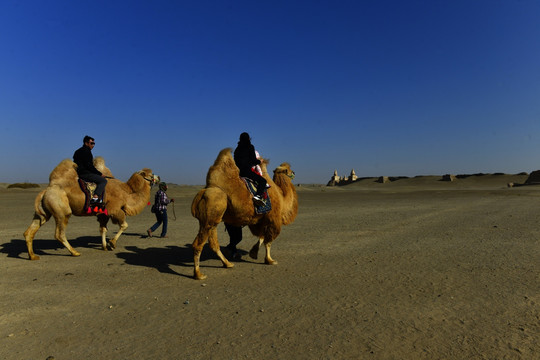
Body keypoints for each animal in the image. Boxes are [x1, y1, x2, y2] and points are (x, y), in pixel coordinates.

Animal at [23, 157, 158, 258]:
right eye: (151, 175)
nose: (159, 178)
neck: (127, 192)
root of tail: (46, 190)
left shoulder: (103, 213)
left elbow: (103, 229)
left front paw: (104, 246)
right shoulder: (115, 209)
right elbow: (124, 225)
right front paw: (112, 243)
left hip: (44, 212)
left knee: (30, 231)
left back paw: (33, 256)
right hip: (62, 211)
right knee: (59, 234)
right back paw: (75, 252)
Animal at [191, 148, 300, 280]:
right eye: (287, 170)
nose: (294, 172)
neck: (281, 197)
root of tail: (204, 191)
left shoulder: (260, 220)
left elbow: (261, 237)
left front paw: (254, 253)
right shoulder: (273, 218)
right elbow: (268, 241)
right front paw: (270, 260)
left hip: (212, 220)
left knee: (214, 243)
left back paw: (227, 263)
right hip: (211, 212)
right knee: (198, 244)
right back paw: (198, 274)